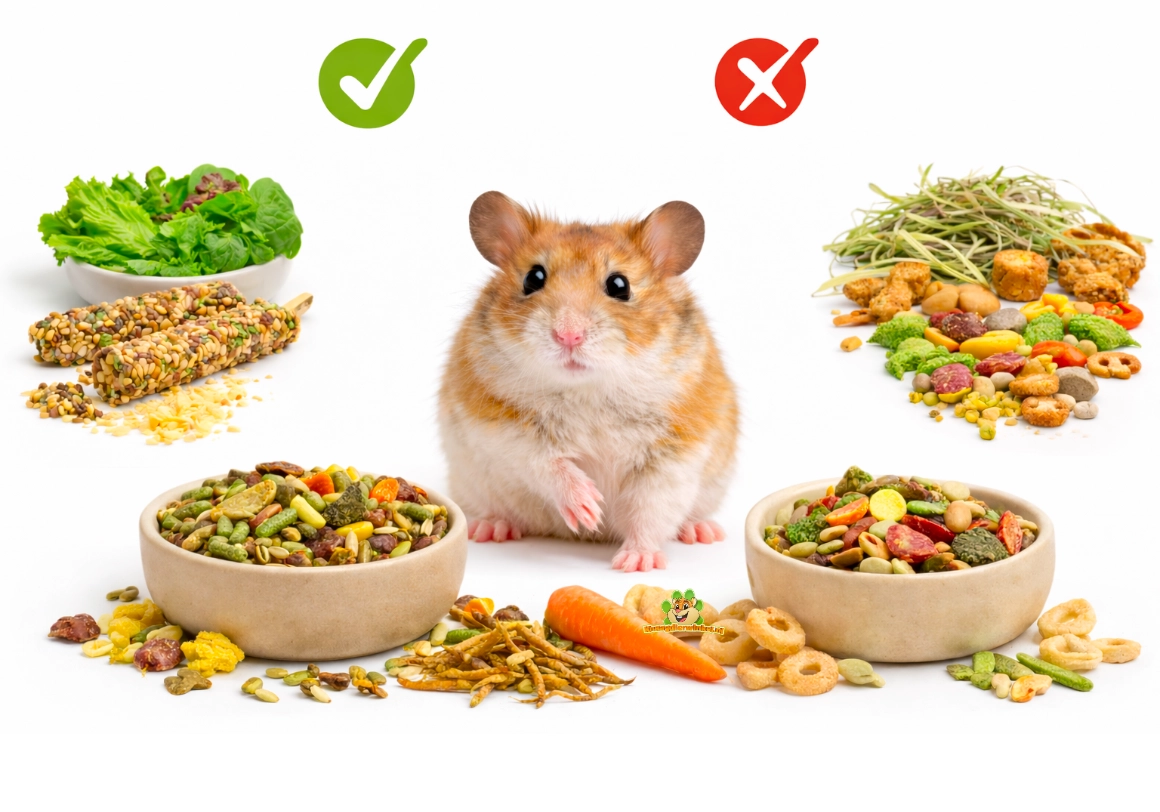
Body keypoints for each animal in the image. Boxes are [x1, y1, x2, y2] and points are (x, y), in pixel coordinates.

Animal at [438, 192, 739, 572]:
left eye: (619, 285)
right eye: (533, 278)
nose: (568, 335)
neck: (587, 390)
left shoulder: (675, 452)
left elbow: (650, 510)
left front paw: (634, 562)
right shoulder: (502, 427)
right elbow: (546, 464)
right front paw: (589, 510)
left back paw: (702, 531)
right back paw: (490, 528)